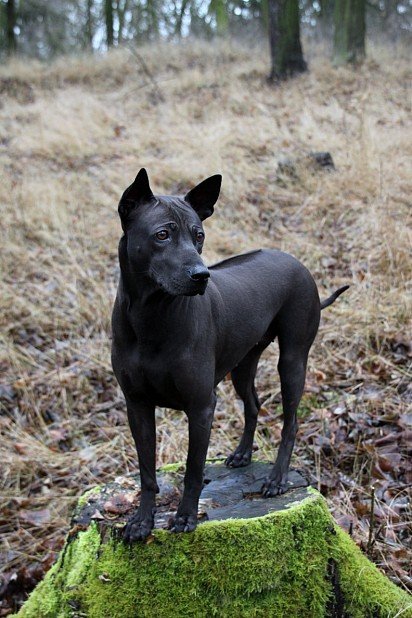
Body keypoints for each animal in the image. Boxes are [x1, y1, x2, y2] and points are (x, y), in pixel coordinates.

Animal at [110, 168, 348, 540]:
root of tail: (295, 261)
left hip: (292, 361)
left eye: (199, 236)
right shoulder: (137, 406)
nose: (201, 275)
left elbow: (193, 471)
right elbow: (147, 472)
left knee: (290, 422)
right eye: (162, 235)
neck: (151, 317)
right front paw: (141, 521)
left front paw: (186, 516)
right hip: (243, 364)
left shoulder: (201, 407)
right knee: (253, 405)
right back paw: (242, 454)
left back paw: (276, 479)